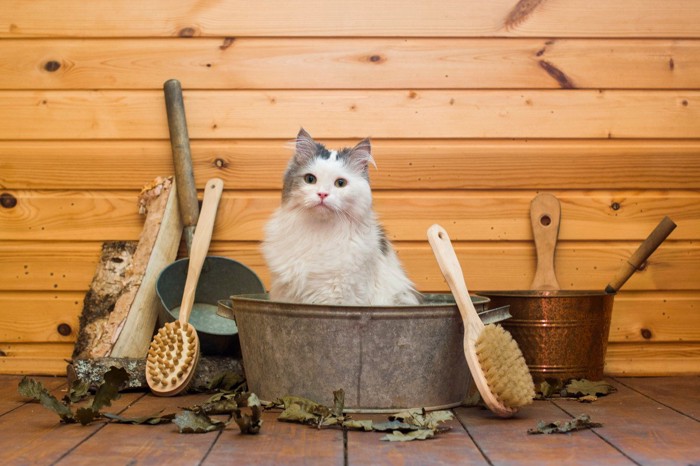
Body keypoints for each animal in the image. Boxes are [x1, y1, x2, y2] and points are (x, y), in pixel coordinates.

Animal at [260, 129, 418, 308]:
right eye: (310, 179)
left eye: (340, 183)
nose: (322, 194)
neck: (319, 233)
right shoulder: (287, 294)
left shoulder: (337, 294)